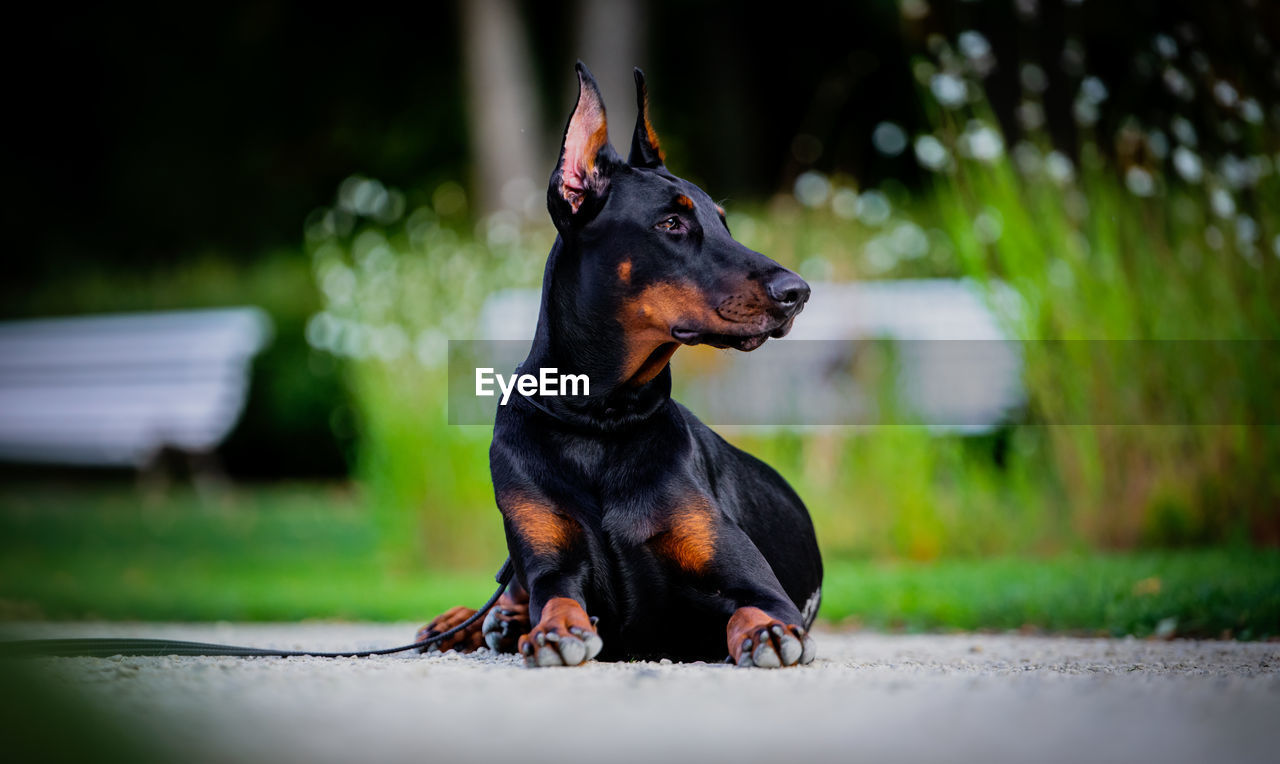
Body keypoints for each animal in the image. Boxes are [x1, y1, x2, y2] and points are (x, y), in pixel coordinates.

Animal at [414, 62, 824, 665]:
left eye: (723, 223)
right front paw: (554, 631)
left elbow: (753, 608)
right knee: (506, 596)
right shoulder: (551, 564)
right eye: (672, 224)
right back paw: (475, 622)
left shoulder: (754, 581)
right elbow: (555, 599)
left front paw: (767, 631)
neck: (598, 420)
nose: (797, 292)